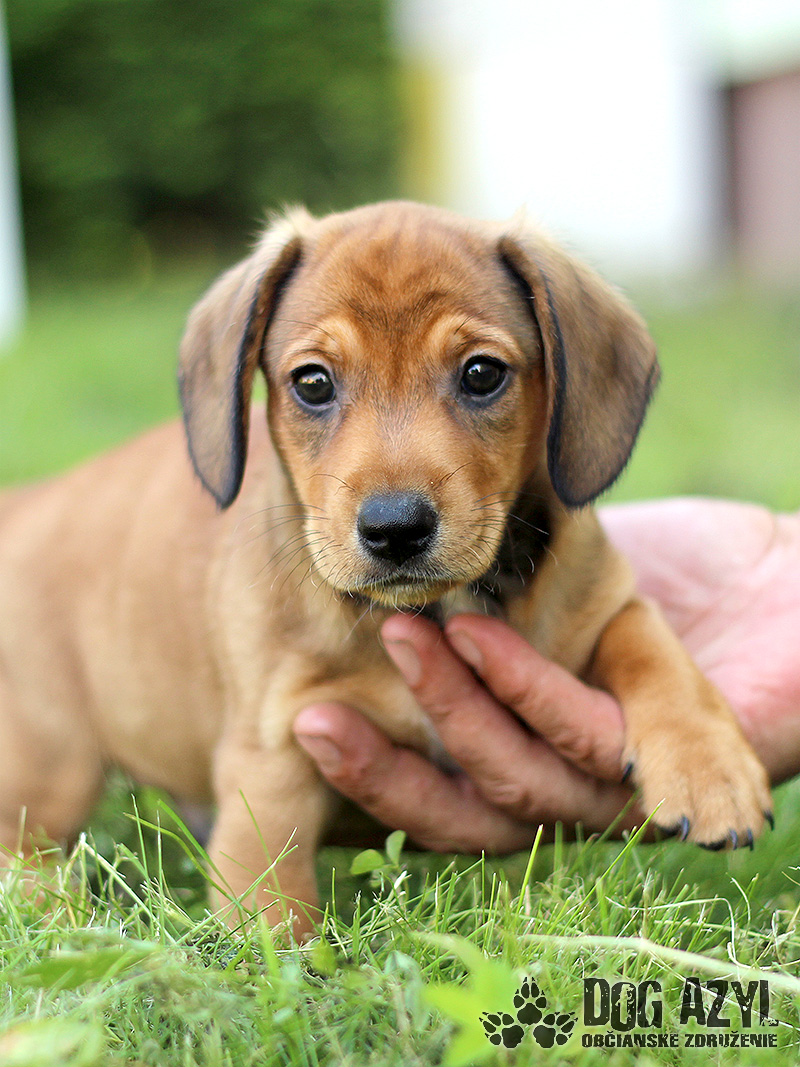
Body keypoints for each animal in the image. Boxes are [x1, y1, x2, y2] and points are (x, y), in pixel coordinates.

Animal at [0, 201, 771, 935]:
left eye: (482, 374)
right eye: (313, 383)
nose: (395, 529)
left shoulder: (606, 601)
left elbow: (651, 650)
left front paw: (710, 769)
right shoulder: (271, 760)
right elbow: (272, 908)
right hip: (48, 767)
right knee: (25, 850)